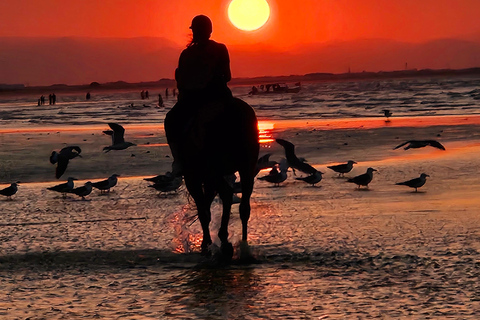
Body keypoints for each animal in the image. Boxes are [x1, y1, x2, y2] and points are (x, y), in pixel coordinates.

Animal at [167, 97, 260, 260]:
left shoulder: (194, 177)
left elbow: (204, 210)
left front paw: (206, 244)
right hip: (246, 166)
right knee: (243, 207)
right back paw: (242, 247)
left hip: (212, 170)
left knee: (226, 194)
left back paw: (224, 242)